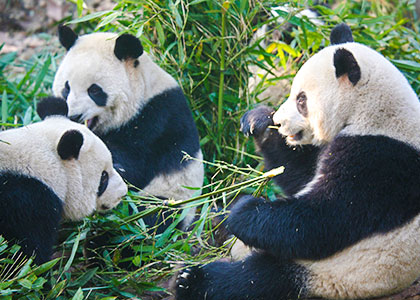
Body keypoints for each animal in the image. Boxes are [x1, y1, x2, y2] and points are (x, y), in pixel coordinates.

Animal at [53, 25, 204, 229]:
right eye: (67, 88)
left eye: (95, 90)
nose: (74, 116)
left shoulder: (154, 120)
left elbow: (132, 166)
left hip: (174, 195)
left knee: (154, 216)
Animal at [176, 24, 420, 300]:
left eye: (302, 100)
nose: (280, 122)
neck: (374, 112)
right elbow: (300, 174)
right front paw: (259, 122)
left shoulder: (377, 161)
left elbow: (320, 221)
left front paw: (245, 209)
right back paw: (213, 223)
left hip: (332, 273)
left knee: (253, 280)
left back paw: (190, 280)